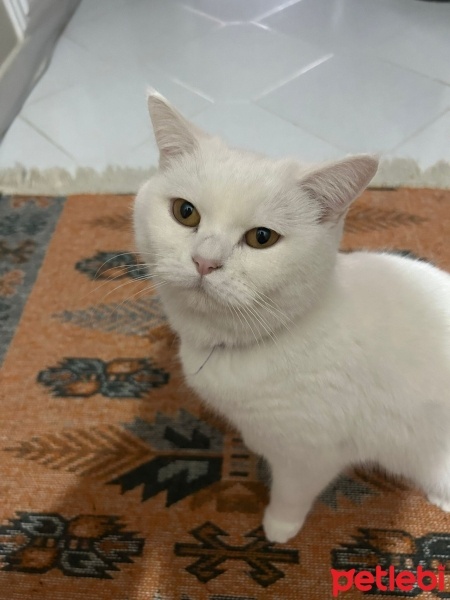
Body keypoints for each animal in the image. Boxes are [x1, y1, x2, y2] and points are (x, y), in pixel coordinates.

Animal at [134, 92, 450, 544]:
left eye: (261, 238)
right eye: (185, 212)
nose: (204, 261)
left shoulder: (312, 454)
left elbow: (292, 492)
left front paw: (278, 528)